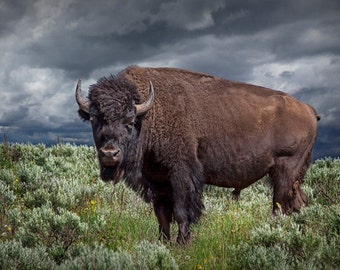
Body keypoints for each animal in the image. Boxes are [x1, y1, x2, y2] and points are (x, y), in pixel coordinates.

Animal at [75, 66, 320, 244]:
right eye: (95, 118)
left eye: (129, 121)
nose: (110, 154)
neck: (151, 113)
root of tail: (308, 109)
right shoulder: (157, 180)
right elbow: (162, 215)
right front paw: (163, 243)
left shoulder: (182, 174)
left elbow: (182, 211)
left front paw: (183, 243)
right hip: (292, 176)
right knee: (299, 202)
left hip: (285, 170)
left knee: (282, 206)